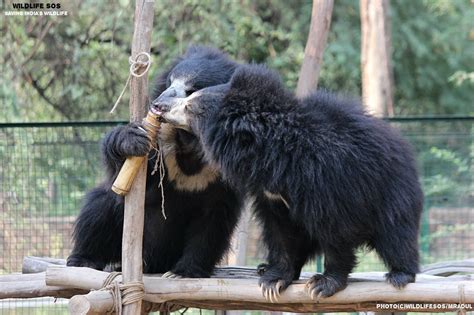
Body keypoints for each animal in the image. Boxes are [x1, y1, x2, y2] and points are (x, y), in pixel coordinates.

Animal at [68, 47, 243, 278]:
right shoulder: (160, 147)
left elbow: (213, 220)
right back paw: (84, 260)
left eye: (191, 90)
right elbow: (138, 186)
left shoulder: (223, 173)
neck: (190, 141)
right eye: (170, 81)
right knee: (100, 205)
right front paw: (130, 139)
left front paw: (182, 272)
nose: (158, 104)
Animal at [158, 63, 422, 298]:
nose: (159, 107)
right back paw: (266, 267)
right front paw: (273, 280)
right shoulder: (270, 194)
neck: (276, 156)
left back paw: (400, 274)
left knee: (396, 233)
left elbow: (336, 231)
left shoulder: (329, 181)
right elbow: (279, 232)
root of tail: (401, 143)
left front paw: (323, 283)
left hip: (390, 190)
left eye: (190, 105)